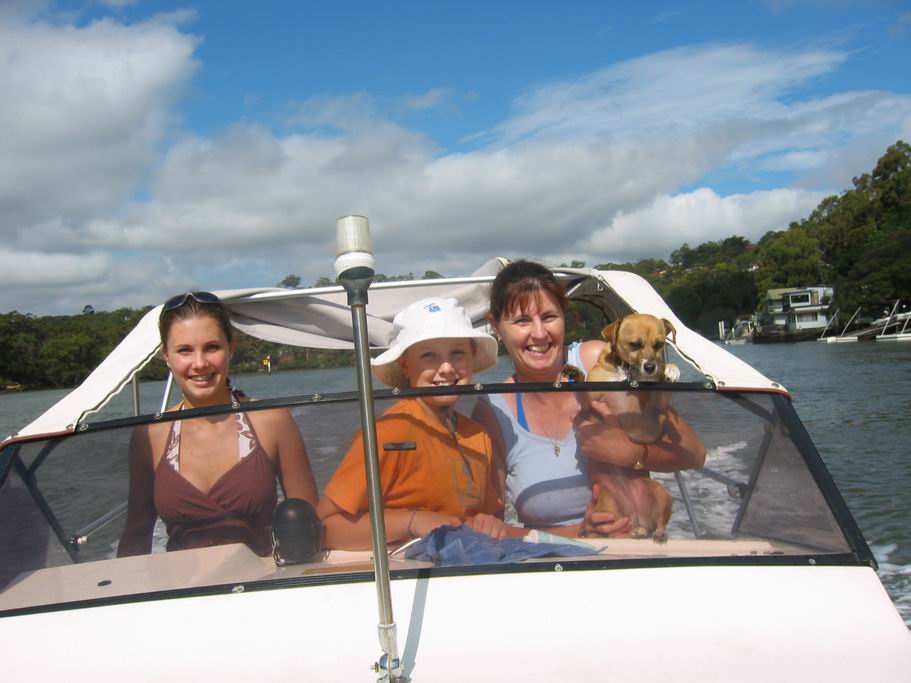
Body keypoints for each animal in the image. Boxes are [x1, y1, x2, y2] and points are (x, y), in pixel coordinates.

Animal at [582, 313, 679, 542]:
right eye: (635, 344)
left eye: (659, 344)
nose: (650, 366)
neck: (626, 373)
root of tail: (636, 517)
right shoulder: (589, 397)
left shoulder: (656, 407)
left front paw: (671, 369)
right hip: (607, 504)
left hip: (659, 492)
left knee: (659, 522)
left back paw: (658, 532)